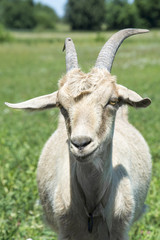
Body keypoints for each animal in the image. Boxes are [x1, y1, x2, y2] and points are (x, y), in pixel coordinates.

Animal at [5, 29, 151, 239]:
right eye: (60, 105)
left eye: (113, 100)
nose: (81, 143)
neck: (92, 207)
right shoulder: (66, 231)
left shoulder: (120, 231)